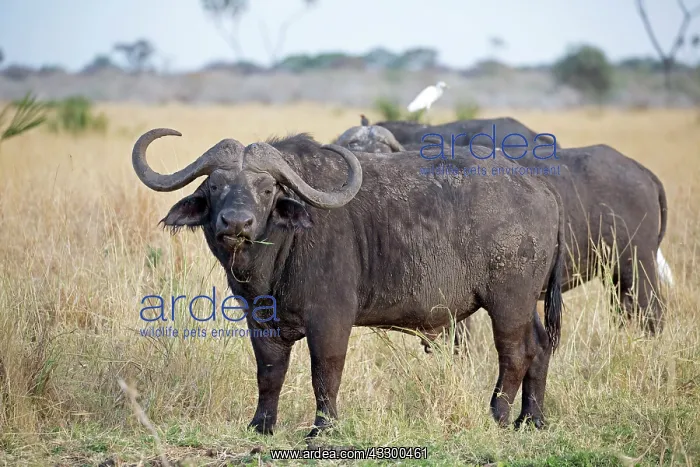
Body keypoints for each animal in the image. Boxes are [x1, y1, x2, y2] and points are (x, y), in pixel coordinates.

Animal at [131, 128, 567, 437]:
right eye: (216, 185)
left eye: (267, 188)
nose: (237, 223)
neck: (278, 252)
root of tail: (543, 190)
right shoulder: (260, 322)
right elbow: (269, 372)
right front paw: (261, 425)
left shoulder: (331, 319)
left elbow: (325, 371)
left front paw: (322, 428)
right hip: (526, 304)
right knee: (540, 345)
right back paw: (531, 420)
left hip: (507, 302)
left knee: (515, 353)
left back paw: (497, 414)